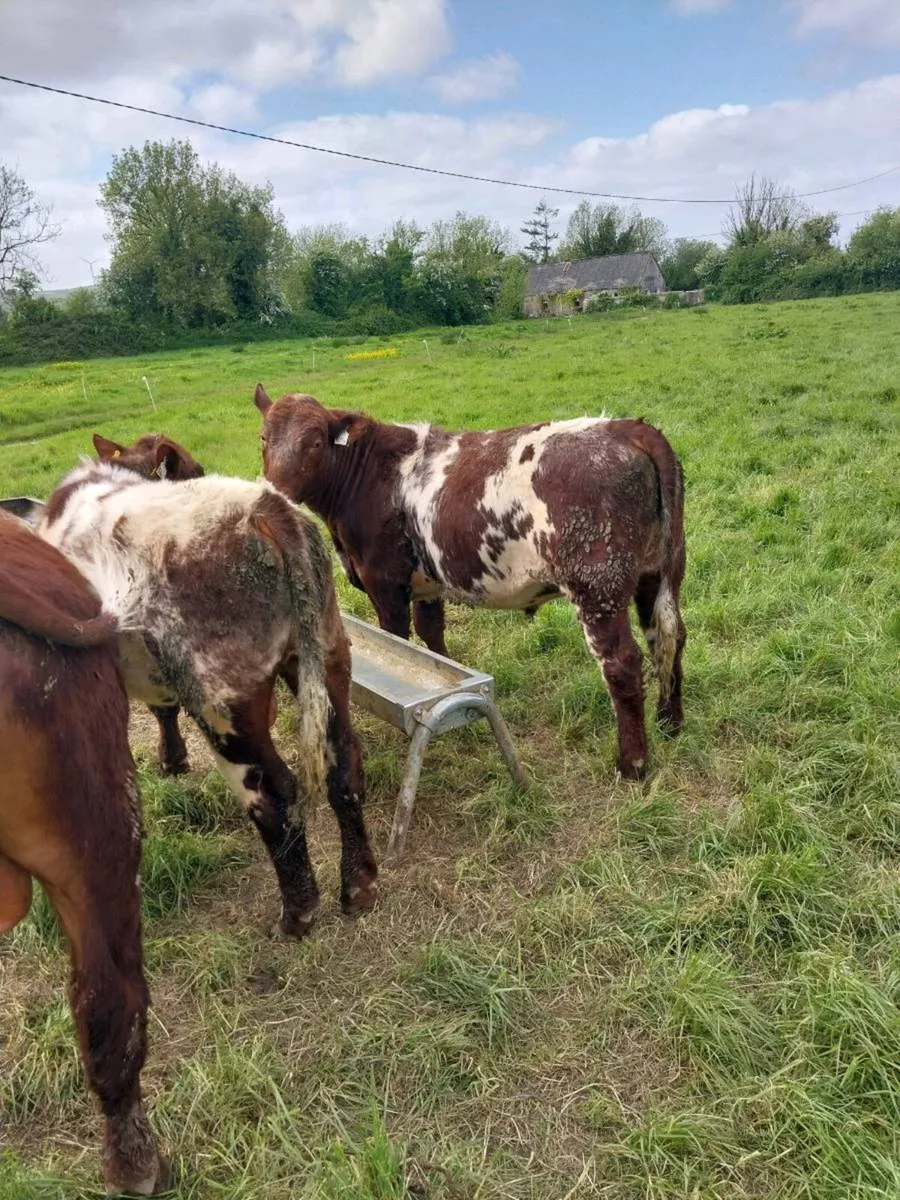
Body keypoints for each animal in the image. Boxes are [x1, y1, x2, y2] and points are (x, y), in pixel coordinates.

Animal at [39, 447, 378, 939]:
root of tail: (264, 509)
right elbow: (163, 709)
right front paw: (173, 760)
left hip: (224, 701)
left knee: (272, 795)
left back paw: (297, 914)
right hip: (327, 653)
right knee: (344, 763)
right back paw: (359, 886)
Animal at [253, 386, 686, 781]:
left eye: (314, 441)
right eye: (263, 437)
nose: (275, 495)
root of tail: (628, 428)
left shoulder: (385, 582)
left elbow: (399, 640)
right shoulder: (427, 583)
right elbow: (432, 637)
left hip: (598, 584)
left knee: (622, 662)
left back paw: (633, 764)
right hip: (660, 572)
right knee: (669, 637)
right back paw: (670, 723)